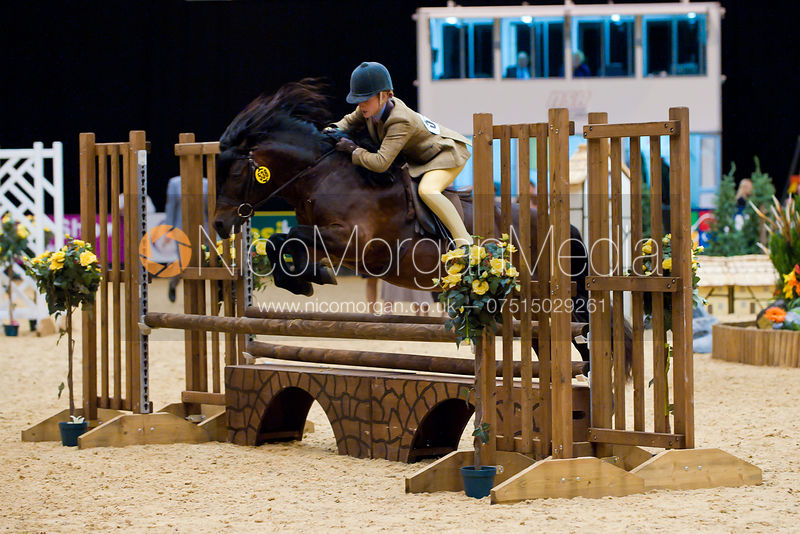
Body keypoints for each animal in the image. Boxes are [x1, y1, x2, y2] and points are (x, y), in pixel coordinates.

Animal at [212, 79, 630, 370]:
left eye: (236, 172)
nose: (218, 225)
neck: (323, 176)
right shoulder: (330, 242)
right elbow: (281, 242)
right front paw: (308, 278)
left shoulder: (355, 242)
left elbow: (287, 238)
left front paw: (310, 279)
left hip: (542, 298)